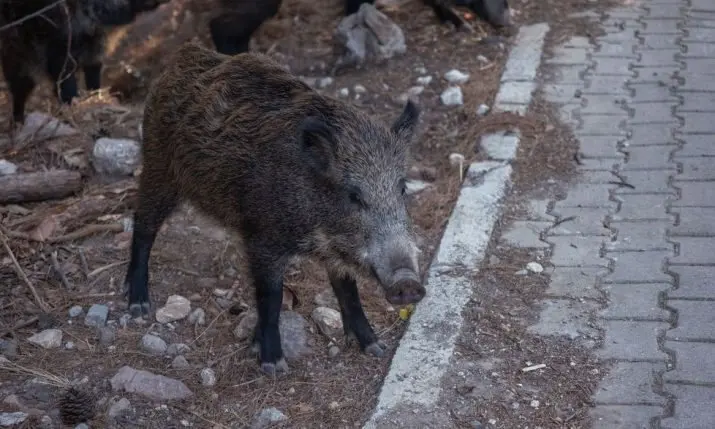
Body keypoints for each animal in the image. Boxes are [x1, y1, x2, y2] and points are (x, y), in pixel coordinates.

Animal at [0, 0, 169, 125]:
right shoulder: (57, 48)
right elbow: (65, 83)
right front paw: (74, 107)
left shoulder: (95, 48)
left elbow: (93, 76)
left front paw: (96, 98)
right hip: (17, 52)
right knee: (21, 84)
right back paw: (17, 120)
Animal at [123, 40, 426, 375]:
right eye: (354, 196)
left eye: (402, 188)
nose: (408, 282)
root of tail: (186, 55)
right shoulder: (262, 238)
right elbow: (271, 296)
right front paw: (273, 366)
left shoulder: (334, 250)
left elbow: (347, 290)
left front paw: (374, 347)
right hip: (158, 166)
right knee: (143, 224)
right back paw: (138, 306)